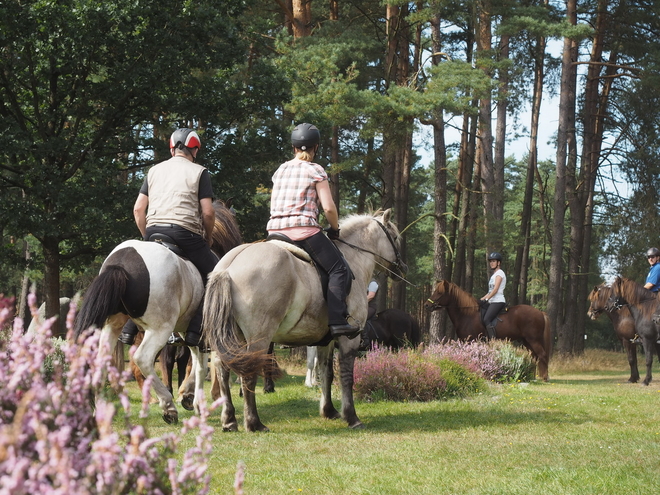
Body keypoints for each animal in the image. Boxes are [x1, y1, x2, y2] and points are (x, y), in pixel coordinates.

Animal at [74, 200, 242, 424]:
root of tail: (121, 263)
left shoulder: (189, 332)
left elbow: (197, 362)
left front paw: (191, 397)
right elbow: (200, 365)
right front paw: (191, 398)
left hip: (114, 325)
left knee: (103, 361)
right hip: (159, 330)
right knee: (143, 360)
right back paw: (167, 406)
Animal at [204, 207, 404, 432]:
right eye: (396, 237)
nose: (402, 268)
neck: (353, 259)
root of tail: (229, 267)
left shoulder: (326, 341)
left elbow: (327, 373)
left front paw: (329, 411)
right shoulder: (348, 339)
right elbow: (346, 377)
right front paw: (351, 417)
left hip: (230, 338)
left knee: (222, 369)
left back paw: (229, 419)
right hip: (258, 338)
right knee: (248, 373)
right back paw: (254, 423)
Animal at [422, 280, 552, 382]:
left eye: (439, 292)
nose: (427, 305)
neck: (467, 314)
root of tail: (540, 313)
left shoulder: (471, 341)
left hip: (533, 340)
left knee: (542, 355)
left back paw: (544, 378)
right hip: (526, 341)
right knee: (535, 357)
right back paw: (533, 377)